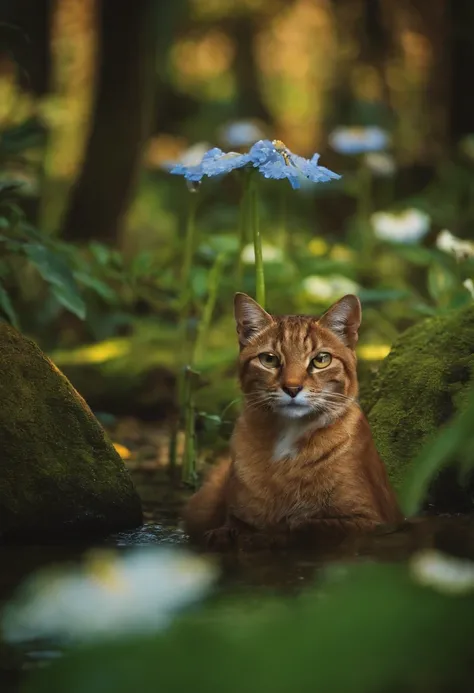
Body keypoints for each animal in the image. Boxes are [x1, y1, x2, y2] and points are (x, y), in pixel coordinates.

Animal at [183, 294, 402, 552]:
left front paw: (269, 535)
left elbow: (309, 525)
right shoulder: (234, 513)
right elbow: (234, 525)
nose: (292, 388)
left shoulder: (370, 520)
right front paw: (230, 535)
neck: (287, 434)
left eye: (321, 360)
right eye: (269, 359)